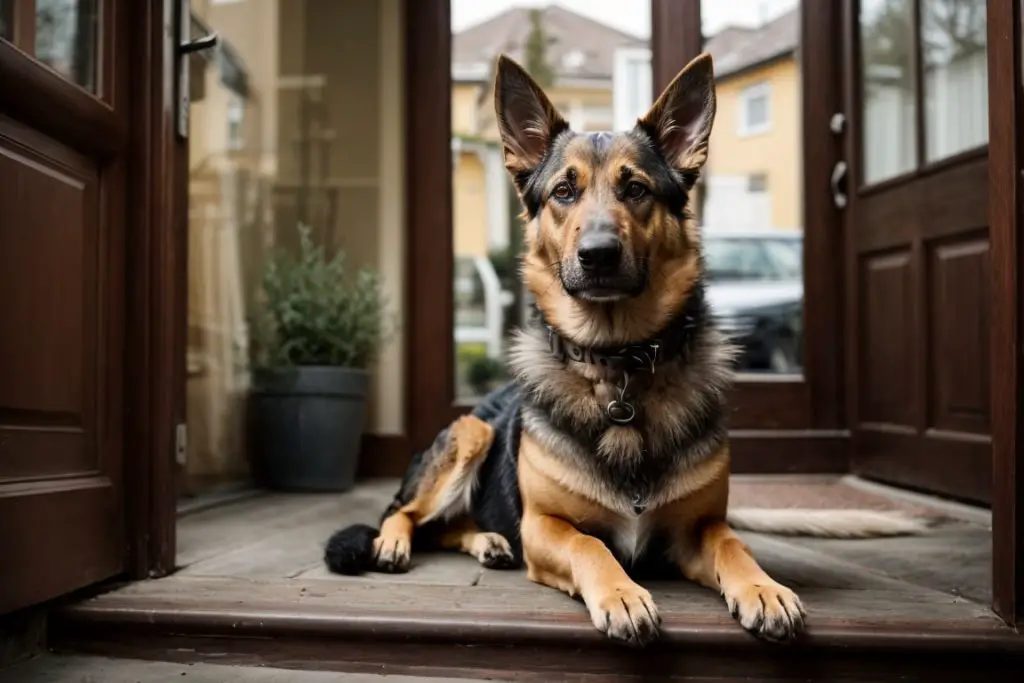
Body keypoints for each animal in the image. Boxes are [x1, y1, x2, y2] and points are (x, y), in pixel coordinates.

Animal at [325, 52, 929, 647]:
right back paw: (396, 543)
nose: (598, 254)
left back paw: (489, 542)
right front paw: (621, 594)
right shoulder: (544, 528)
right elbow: (588, 543)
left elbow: (734, 544)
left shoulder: (697, 531)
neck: (618, 364)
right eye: (563, 192)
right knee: (404, 512)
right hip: (472, 433)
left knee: (450, 528)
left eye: (635, 189)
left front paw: (764, 588)